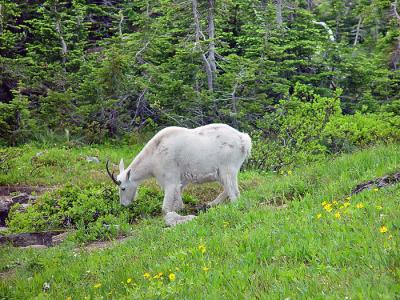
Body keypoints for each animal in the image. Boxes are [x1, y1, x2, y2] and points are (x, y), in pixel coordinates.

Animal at [106, 123, 250, 225]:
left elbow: (165, 208)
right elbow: (178, 198)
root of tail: (243, 139)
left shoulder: (170, 179)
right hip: (224, 171)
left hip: (227, 167)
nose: (124, 205)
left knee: (234, 193)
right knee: (230, 189)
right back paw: (209, 204)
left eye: (123, 188)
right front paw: (181, 210)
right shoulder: (178, 181)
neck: (154, 155)